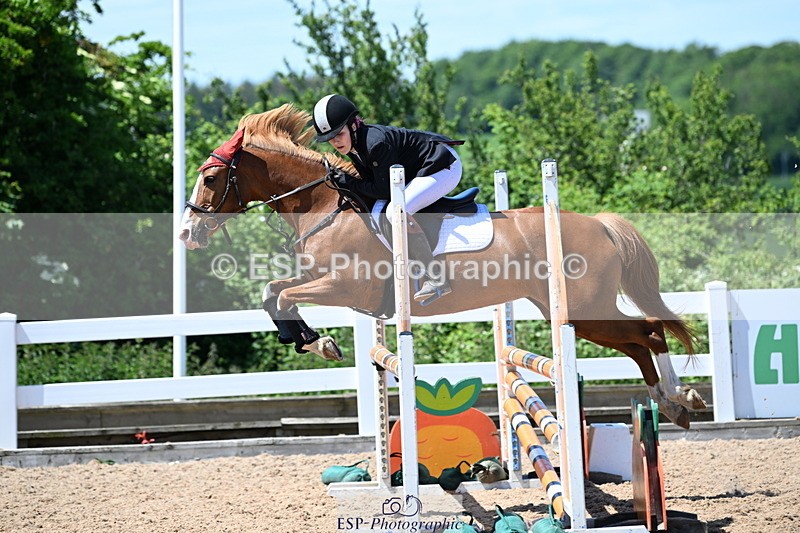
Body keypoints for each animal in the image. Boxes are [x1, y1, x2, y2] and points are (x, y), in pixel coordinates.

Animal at [178, 104, 707, 428]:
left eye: (211, 178)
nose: (186, 232)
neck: (324, 204)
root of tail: (599, 224)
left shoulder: (347, 287)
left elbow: (285, 294)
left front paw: (318, 342)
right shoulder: (318, 279)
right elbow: (274, 291)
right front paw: (307, 339)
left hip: (583, 310)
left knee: (649, 331)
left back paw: (679, 398)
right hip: (577, 312)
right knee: (641, 339)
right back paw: (673, 403)